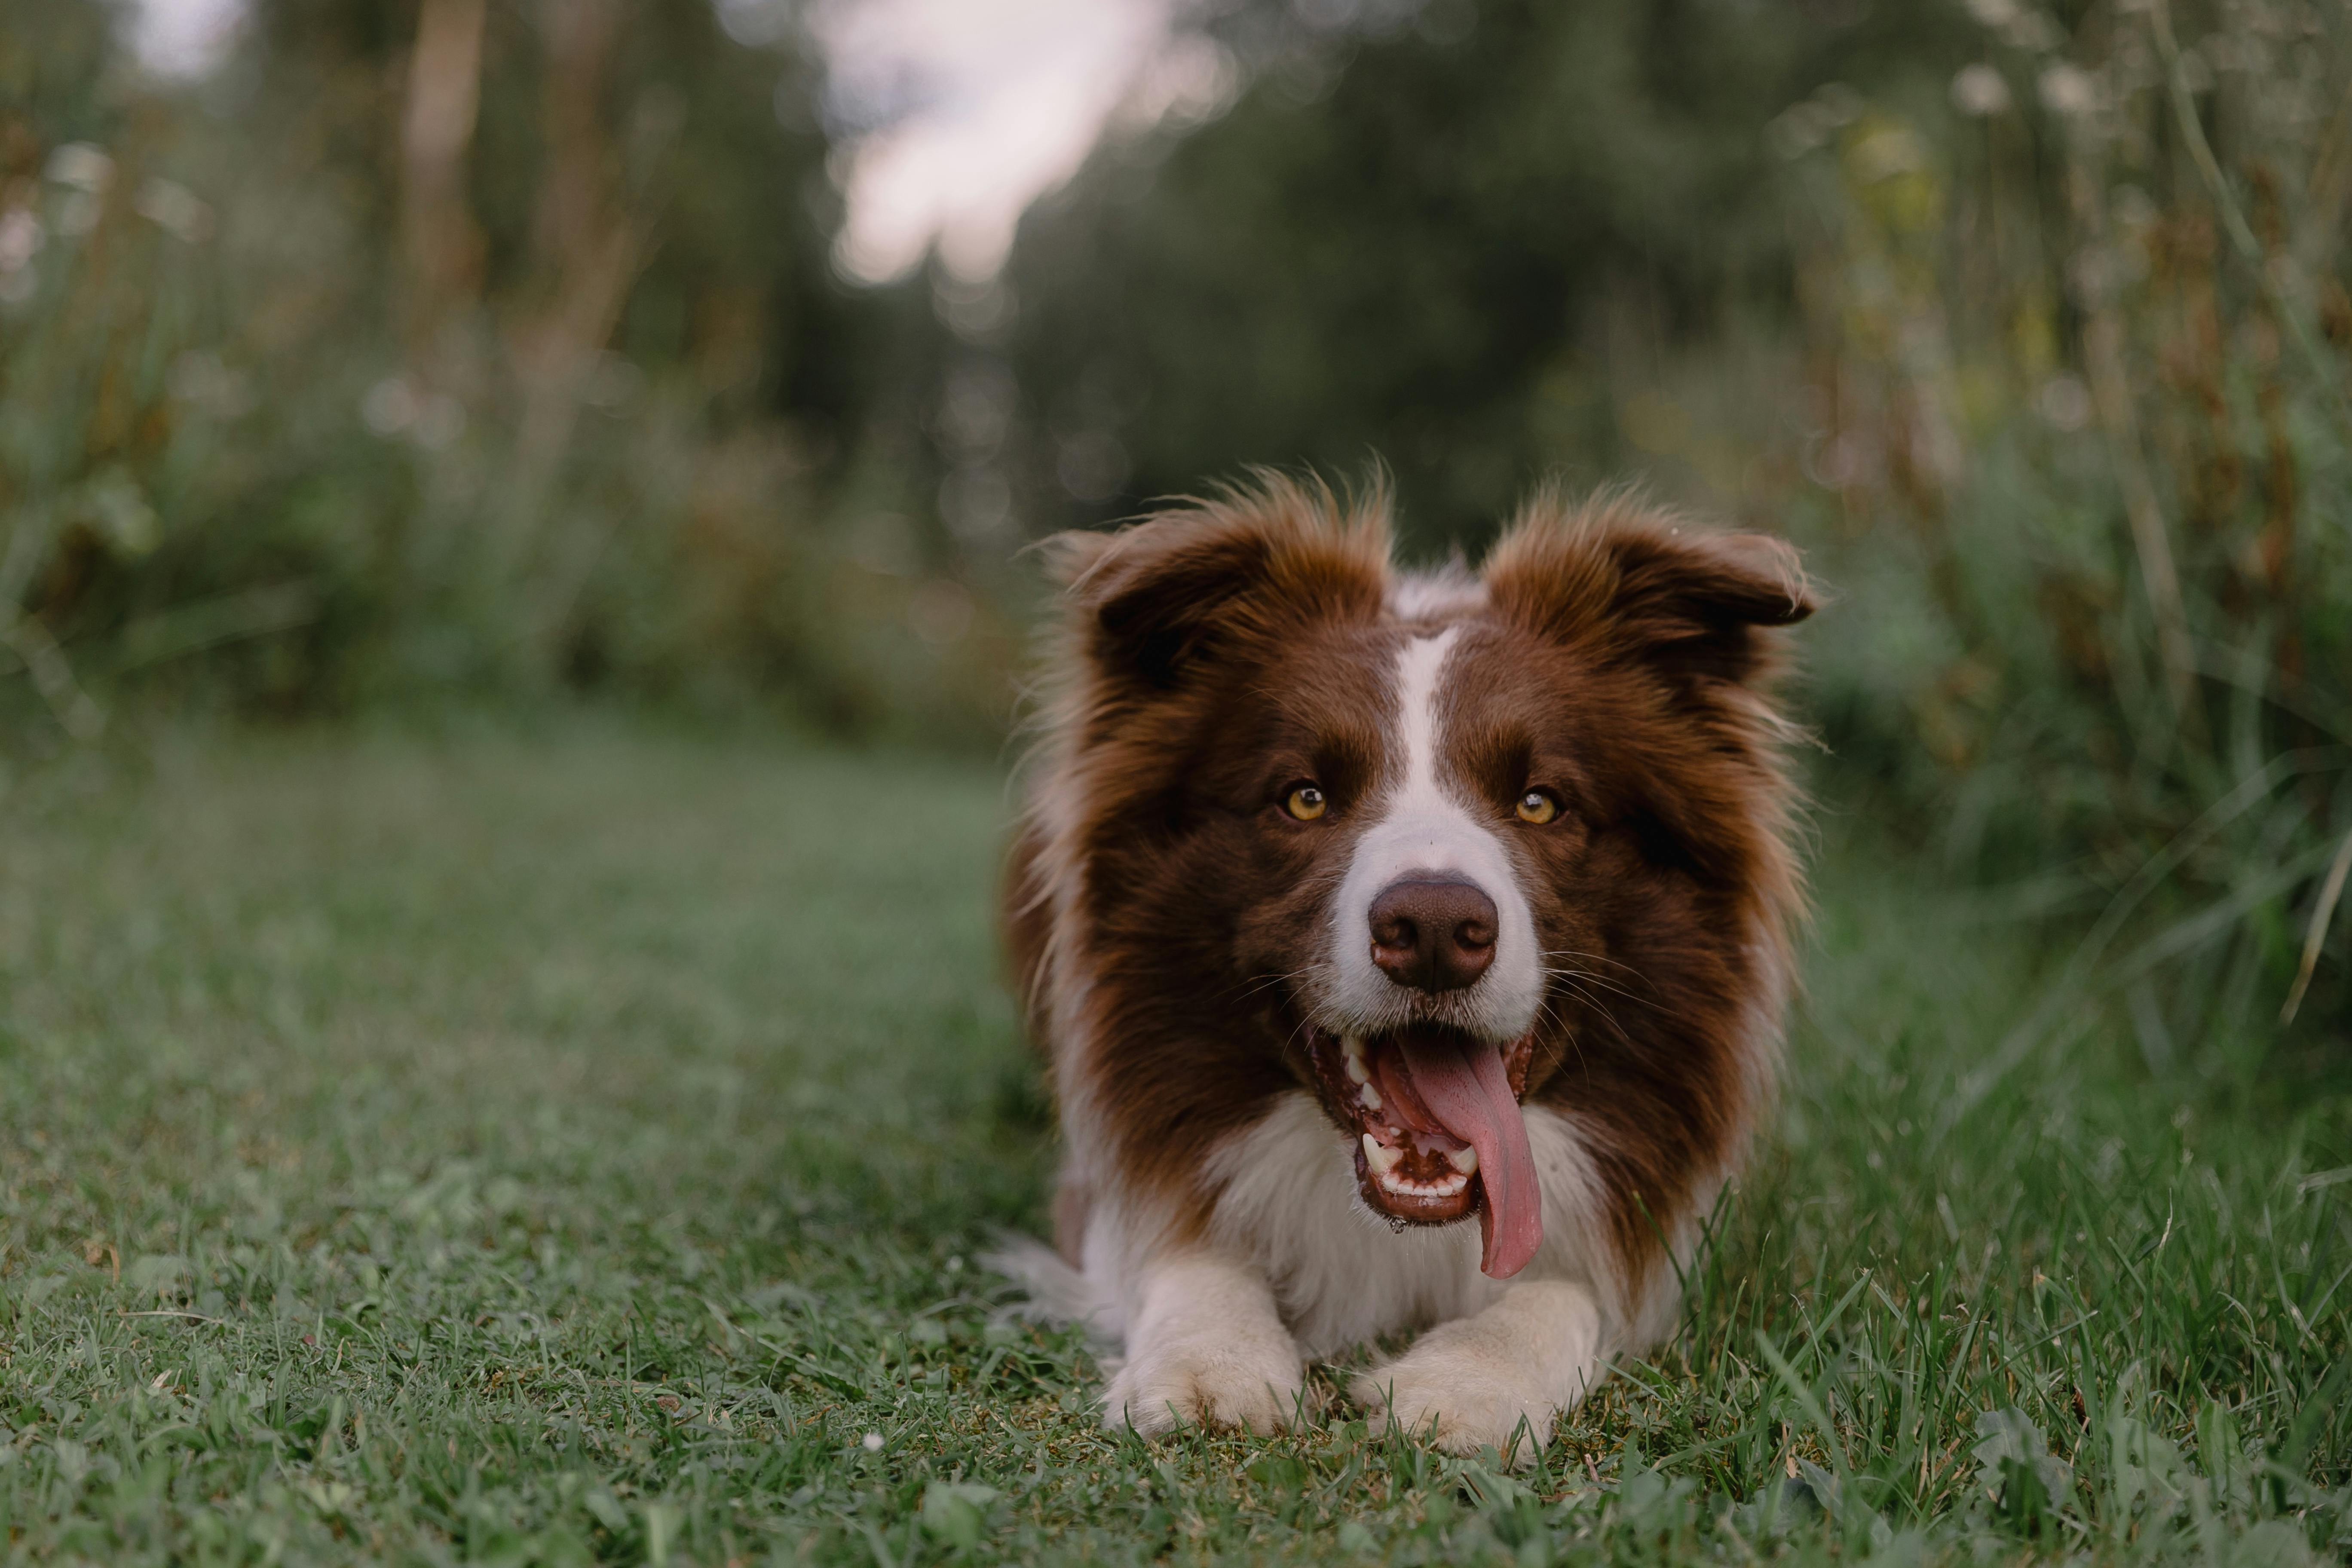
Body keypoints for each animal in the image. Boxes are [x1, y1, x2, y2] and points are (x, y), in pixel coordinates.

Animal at [992, 475, 1816, 1457]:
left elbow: (1569, 1285)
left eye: (1540, 803)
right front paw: (1210, 1366)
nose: (1432, 926)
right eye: (1305, 797)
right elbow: (1181, 1245)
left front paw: (1465, 1381)